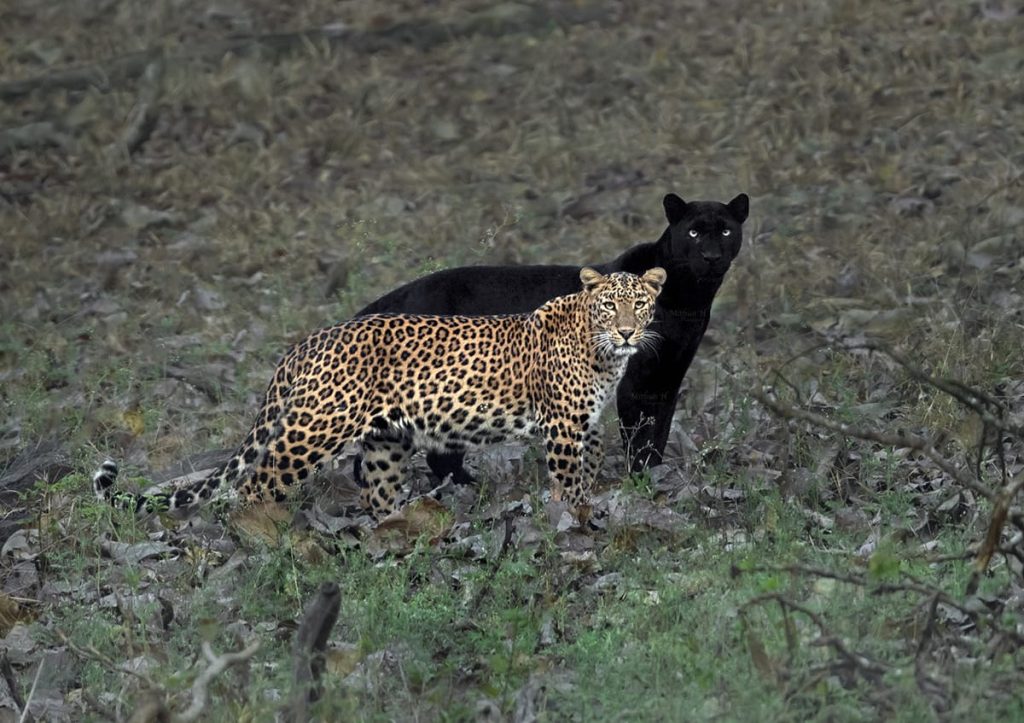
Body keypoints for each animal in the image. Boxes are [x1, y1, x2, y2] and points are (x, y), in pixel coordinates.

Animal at [93, 267, 666, 523]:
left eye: (640, 304)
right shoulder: (564, 425)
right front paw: (572, 522)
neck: (601, 352)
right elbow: (568, 481)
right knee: (254, 485)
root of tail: (305, 343)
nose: (627, 332)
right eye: (609, 306)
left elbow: (587, 470)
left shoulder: (586, 424)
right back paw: (265, 535)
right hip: (312, 429)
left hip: (386, 441)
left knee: (377, 494)